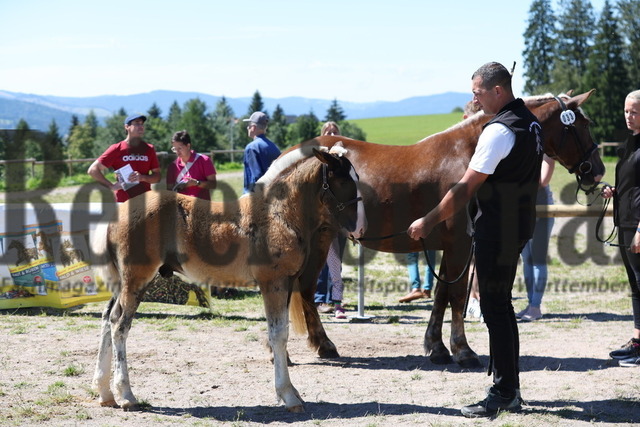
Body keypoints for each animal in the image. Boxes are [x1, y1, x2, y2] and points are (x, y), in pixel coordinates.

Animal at [92, 149, 368, 412]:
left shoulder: (288, 283)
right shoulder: (273, 283)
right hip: (137, 280)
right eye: (342, 181)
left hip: (123, 283)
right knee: (119, 324)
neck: (279, 214)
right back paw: (126, 395)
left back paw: (105, 393)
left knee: (107, 318)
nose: (360, 229)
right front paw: (288, 396)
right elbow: (278, 334)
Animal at [292, 90, 604, 368]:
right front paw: (462, 350)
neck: (469, 154)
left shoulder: (452, 247)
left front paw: (437, 347)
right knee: (305, 287)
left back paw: (324, 345)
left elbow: (442, 295)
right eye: (583, 124)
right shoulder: (461, 246)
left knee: (305, 287)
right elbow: (456, 297)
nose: (597, 170)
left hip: (322, 238)